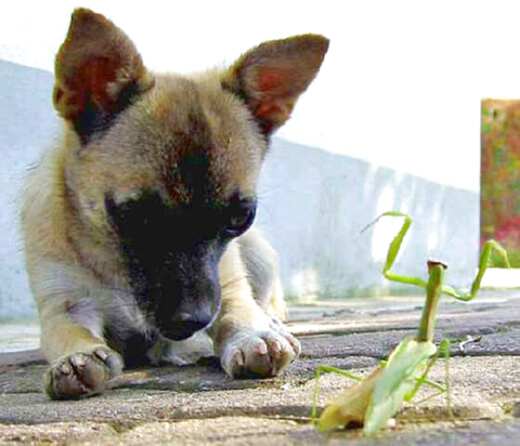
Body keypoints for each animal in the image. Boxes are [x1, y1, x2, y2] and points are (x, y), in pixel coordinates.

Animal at [22, 7, 328, 400]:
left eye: (240, 218)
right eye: (137, 217)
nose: (193, 320)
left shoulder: (226, 287)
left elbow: (236, 311)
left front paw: (254, 334)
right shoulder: (65, 305)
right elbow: (69, 331)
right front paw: (76, 358)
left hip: (259, 255)